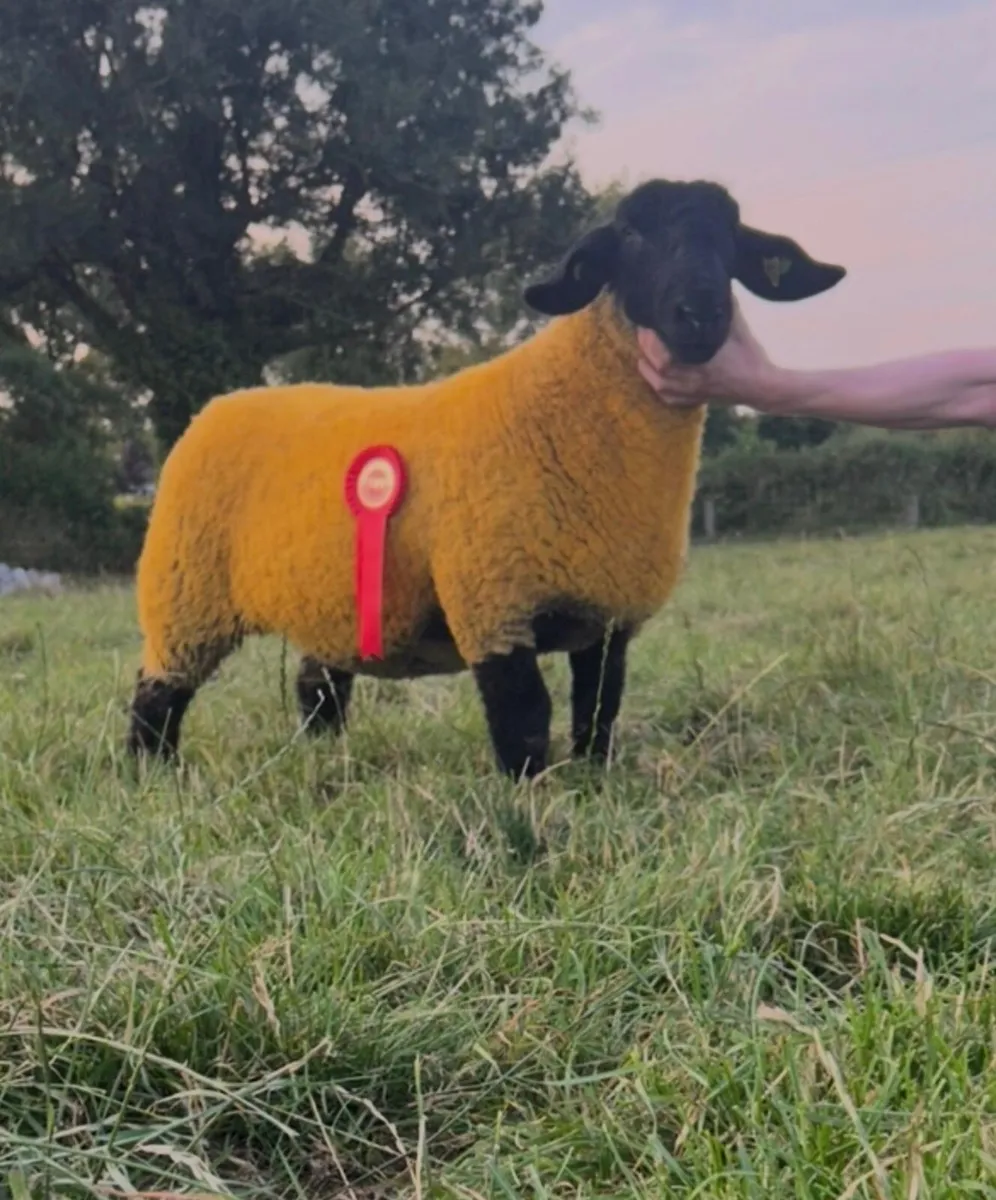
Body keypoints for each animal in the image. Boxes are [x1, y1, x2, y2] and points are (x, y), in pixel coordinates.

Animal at [127, 177, 845, 777]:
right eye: (631, 235)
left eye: (729, 239)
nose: (700, 314)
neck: (569, 414)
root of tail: (216, 407)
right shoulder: (492, 598)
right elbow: (524, 717)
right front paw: (528, 797)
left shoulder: (606, 618)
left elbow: (598, 712)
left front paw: (593, 785)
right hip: (184, 595)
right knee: (156, 696)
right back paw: (151, 776)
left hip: (326, 599)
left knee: (317, 687)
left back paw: (328, 758)